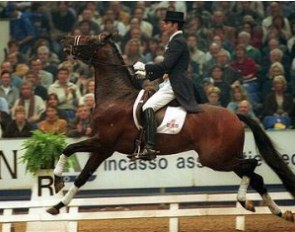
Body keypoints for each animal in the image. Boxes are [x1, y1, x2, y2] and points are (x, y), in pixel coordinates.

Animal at [47, 34, 294, 223]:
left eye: (90, 40)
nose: (65, 41)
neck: (115, 98)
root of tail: (234, 114)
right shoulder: (103, 149)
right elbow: (82, 177)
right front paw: (57, 205)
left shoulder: (103, 142)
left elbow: (68, 149)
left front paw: (57, 181)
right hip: (226, 157)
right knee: (255, 176)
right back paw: (280, 212)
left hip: (216, 158)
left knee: (251, 166)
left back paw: (245, 201)